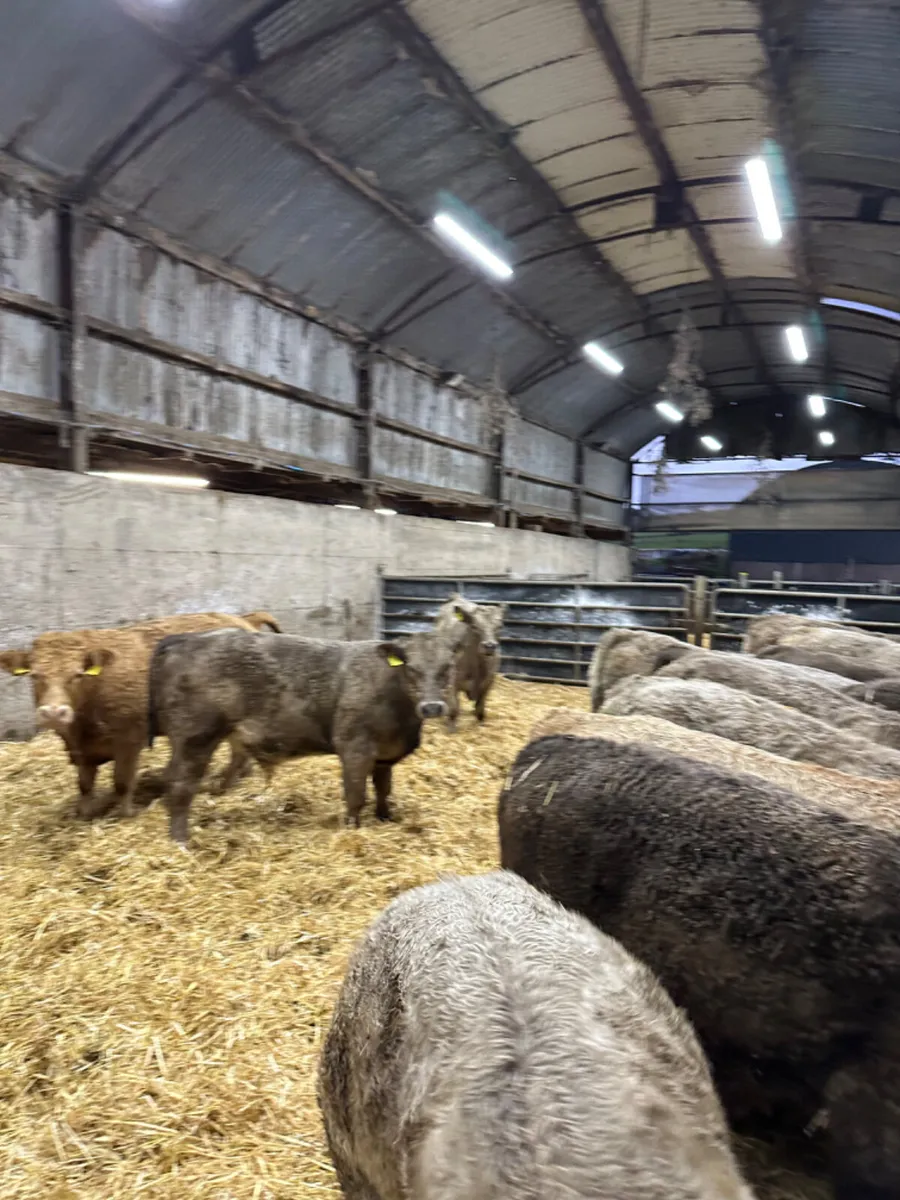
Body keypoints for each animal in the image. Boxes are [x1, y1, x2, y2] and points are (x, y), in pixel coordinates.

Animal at [0, 611, 266, 819]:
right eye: (35, 675)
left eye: (77, 674)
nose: (54, 713)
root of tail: (241, 620)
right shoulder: (81, 750)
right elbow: (84, 785)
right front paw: (85, 812)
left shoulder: (129, 741)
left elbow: (122, 782)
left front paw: (126, 813)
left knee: (238, 750)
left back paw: (222, 786)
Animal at [147, 628, 457, 843]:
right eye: (411, 667)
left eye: (447, 668)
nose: (432, 706)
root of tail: (186, 639)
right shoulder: (354, 748)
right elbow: (356, 795)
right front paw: (352, 830)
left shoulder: (384, 755)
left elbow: (383, 789)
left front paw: (385, 818)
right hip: (195, 738)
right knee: (181, 785)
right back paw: (181, 841)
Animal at [433, 594, 505, 731]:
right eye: (474, 626)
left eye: (499, 627)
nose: (489, 646)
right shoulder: (453, 680)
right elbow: (454, 707)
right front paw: (451, 727)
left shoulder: (489, 681)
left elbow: (480, 707)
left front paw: (481, 723)